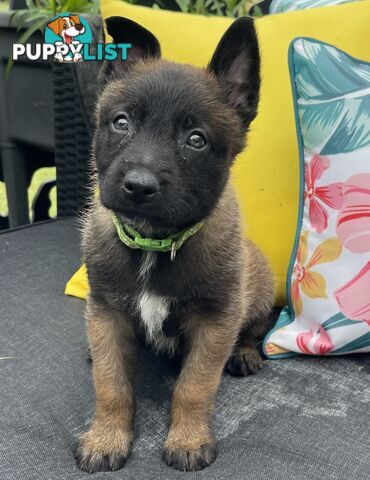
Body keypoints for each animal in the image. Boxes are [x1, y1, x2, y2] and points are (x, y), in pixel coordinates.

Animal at [76, 15, 274, 472]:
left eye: (196, 140)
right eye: (121, 122)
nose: (138, 186)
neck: (154, 242)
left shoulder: (215, 322)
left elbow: (194, 387)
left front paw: (187, 439)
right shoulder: (107, 311)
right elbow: (111, 385)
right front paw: (106, 438)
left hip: (262, 291)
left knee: (254, 329)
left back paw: (245, 353)